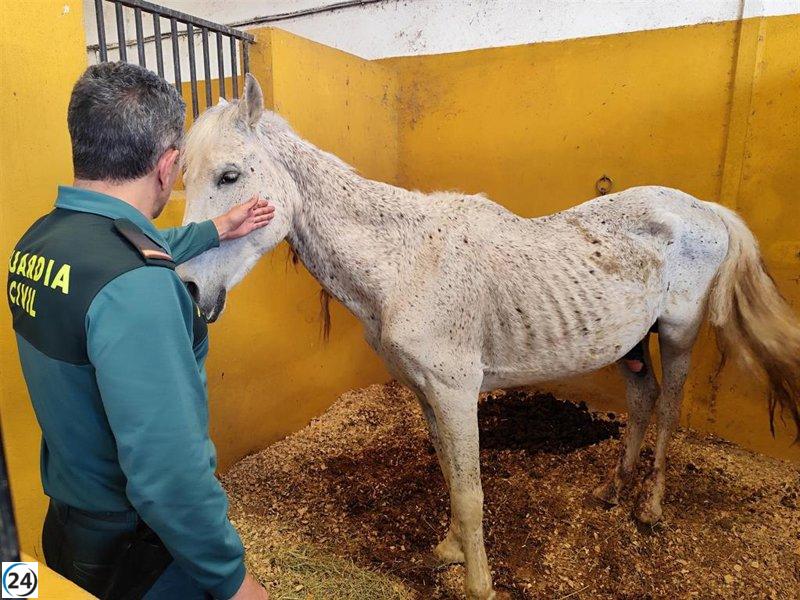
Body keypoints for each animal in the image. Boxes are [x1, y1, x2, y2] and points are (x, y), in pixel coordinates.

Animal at [177, 75, 800, 600]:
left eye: (230, 175)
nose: (188, 286)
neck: (406, 263)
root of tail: (704, 209)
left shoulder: (456, 393)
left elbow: (473, 490)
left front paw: (478, 583)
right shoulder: (426, 391)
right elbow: (452, 474)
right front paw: (450, 549)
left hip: (675, 334)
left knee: (669, 408)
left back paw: (648, 507)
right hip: (631, 343)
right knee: (643, 400)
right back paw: (611, 491)